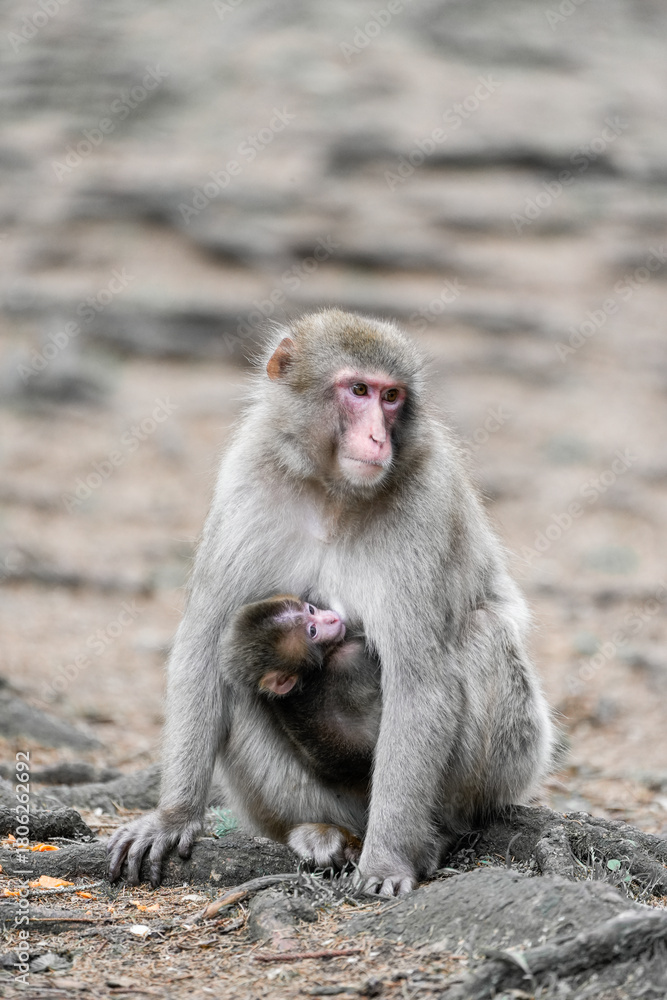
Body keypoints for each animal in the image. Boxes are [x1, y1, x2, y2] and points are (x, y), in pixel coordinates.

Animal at [107, 308, 554, 895]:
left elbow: (422, 679)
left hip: (505, 770)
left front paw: (388, 862)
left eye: (392, 397)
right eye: (358, 390)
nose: (378, 436)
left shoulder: (427, 500)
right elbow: (205, 644)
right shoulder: (248, 478)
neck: (333, 491)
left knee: (481, 634)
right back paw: (321, 832)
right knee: (235, 673)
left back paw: (425, 838)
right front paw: (173, 816)